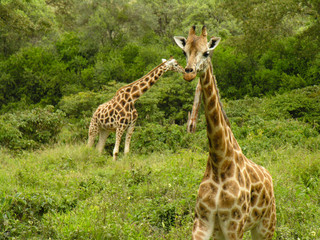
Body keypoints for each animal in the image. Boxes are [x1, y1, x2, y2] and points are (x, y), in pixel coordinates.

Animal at [174, 25, 276, 239]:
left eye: (206, 52)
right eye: (184, 52)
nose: (189, 72)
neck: (219, 162)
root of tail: (269, 177)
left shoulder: (234, 224)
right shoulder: (203, 222)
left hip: (266, 225)